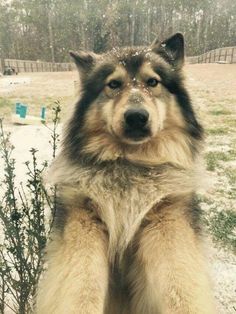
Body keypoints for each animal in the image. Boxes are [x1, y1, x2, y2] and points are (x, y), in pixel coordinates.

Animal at [35, 33, 216, 312]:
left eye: (152, 82)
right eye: (114, 84)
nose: (136, 117)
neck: (130, 164)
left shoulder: (167, 220)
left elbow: (179, 284)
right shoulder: (85, 220)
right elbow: (83, 283)